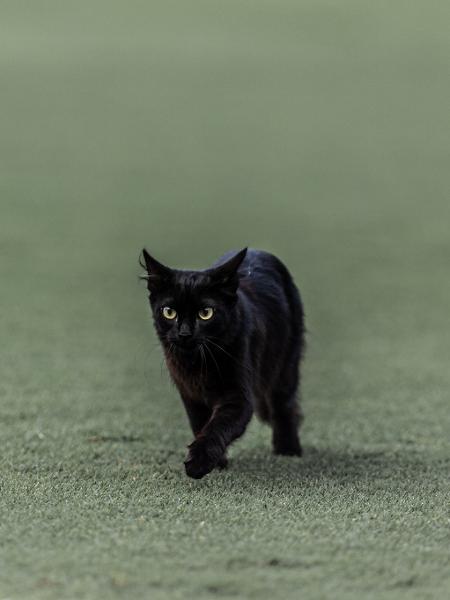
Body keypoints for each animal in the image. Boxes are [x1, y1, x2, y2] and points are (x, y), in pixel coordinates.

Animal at [141, 247, 306, 478]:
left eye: (205, 313)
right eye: (169, 312)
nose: (184, 333)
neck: (197, 364)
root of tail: (259, 250)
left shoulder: (238, 397)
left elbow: (217, 427)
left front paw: (198, 463)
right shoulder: (191, 395)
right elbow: (200, 425)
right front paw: (218, 463)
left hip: (284, 367)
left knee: (284, 406)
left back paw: (288, 450)